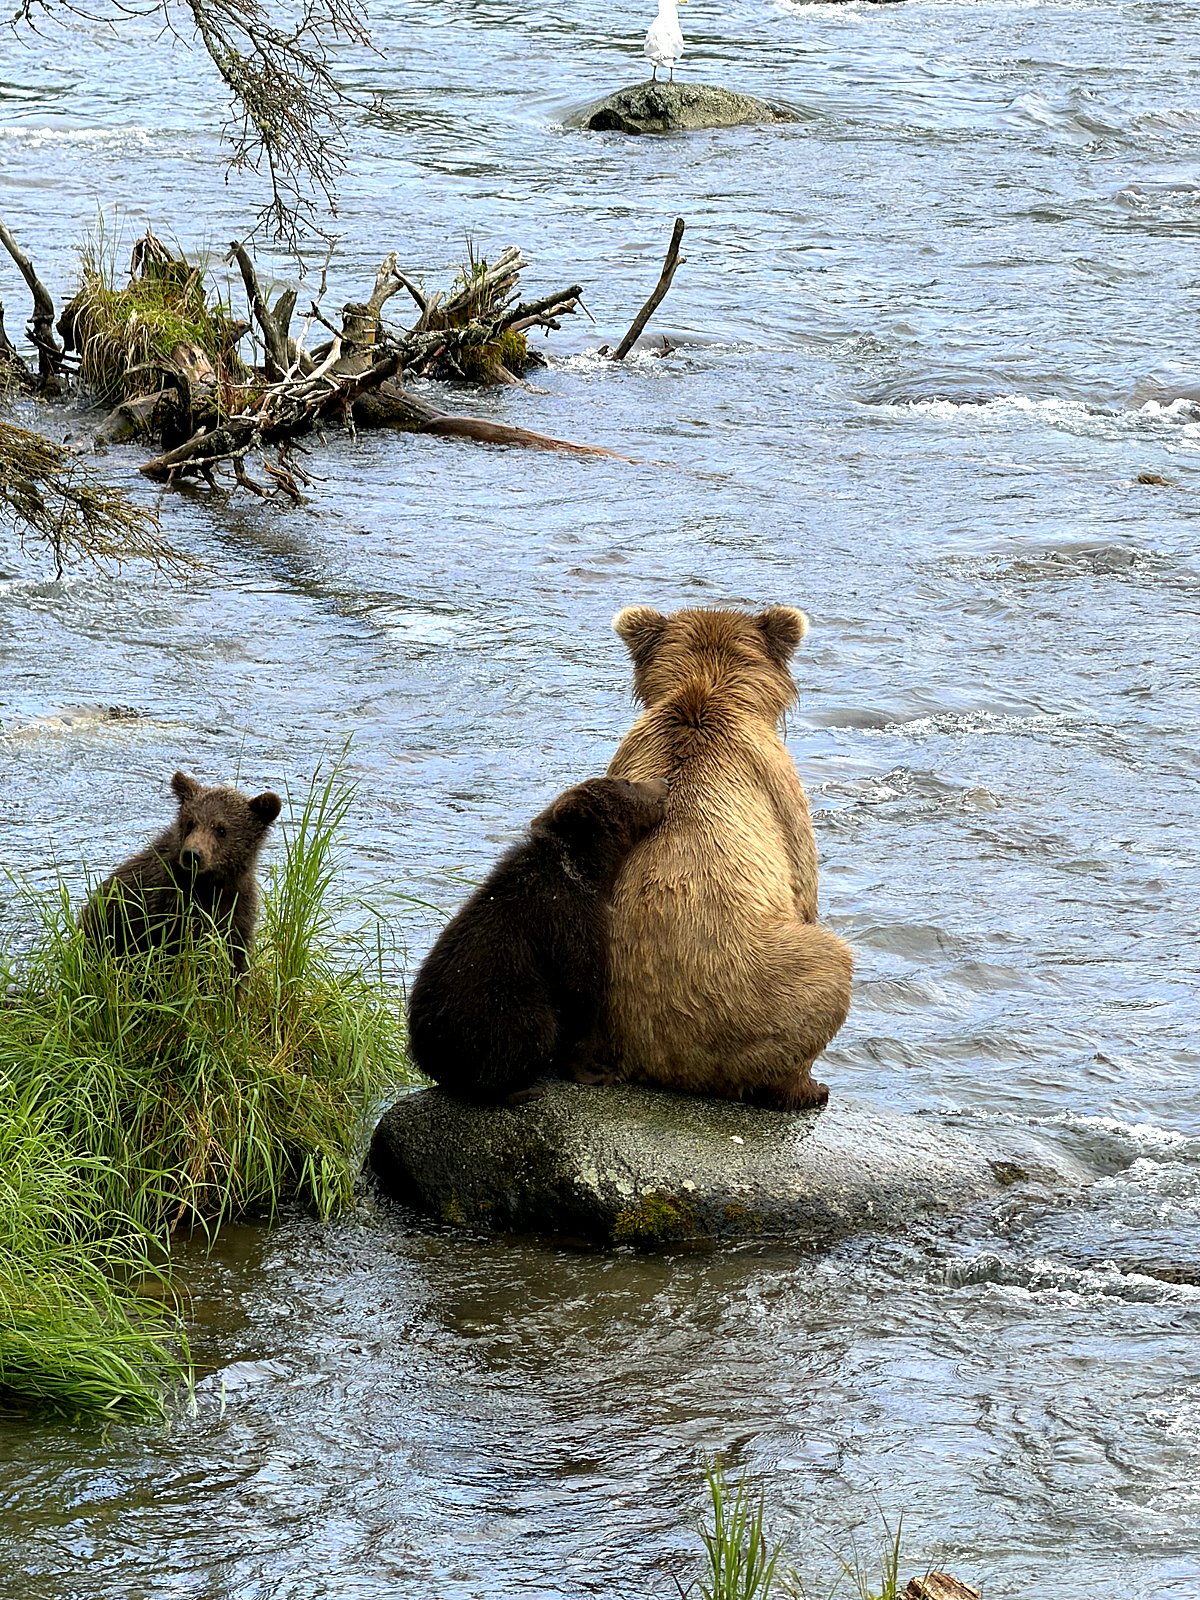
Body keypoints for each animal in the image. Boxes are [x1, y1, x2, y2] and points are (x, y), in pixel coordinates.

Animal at [81, 771, 283, 980]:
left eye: (221, 829)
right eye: (190, 822)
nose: (192, 854)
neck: (209, 886)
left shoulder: (237, 909)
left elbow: (235, 961)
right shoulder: (165, 910)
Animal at [406, 775, 670, 1105]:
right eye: (626, 782)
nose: (665, 783)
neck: (586, 871)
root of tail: (428, 1053)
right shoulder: (565, 922)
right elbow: (579, 993)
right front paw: (600, 1072)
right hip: (499, 1007)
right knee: (530, 1030)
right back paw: (520, 1088)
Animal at [604, 605, 854, 1110]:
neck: (706, 690)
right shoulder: (778, 785)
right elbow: (803, 882)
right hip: (757, 990)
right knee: (833, 964)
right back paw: (806, 1087)